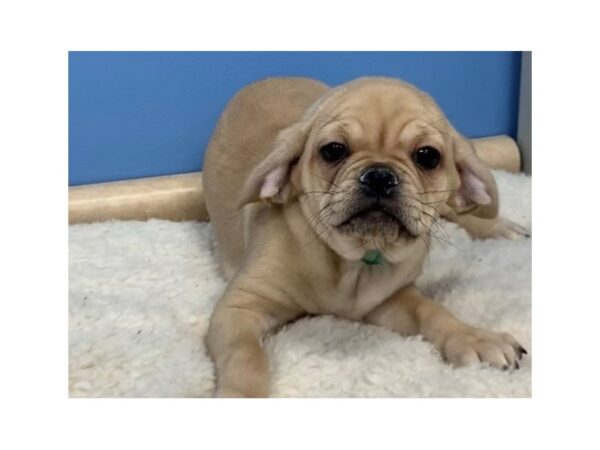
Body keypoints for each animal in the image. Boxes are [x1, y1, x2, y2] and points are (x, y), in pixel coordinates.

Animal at [204, 77, 528, 398]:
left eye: (428, 156)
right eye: (333, 150)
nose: (380, 176)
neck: (354, 261)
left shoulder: (391, 299)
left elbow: (432, 310)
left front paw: (474, 338)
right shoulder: (240, 306)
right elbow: (246, 355)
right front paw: (239, 394)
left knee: (454, 208)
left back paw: (498, 227)